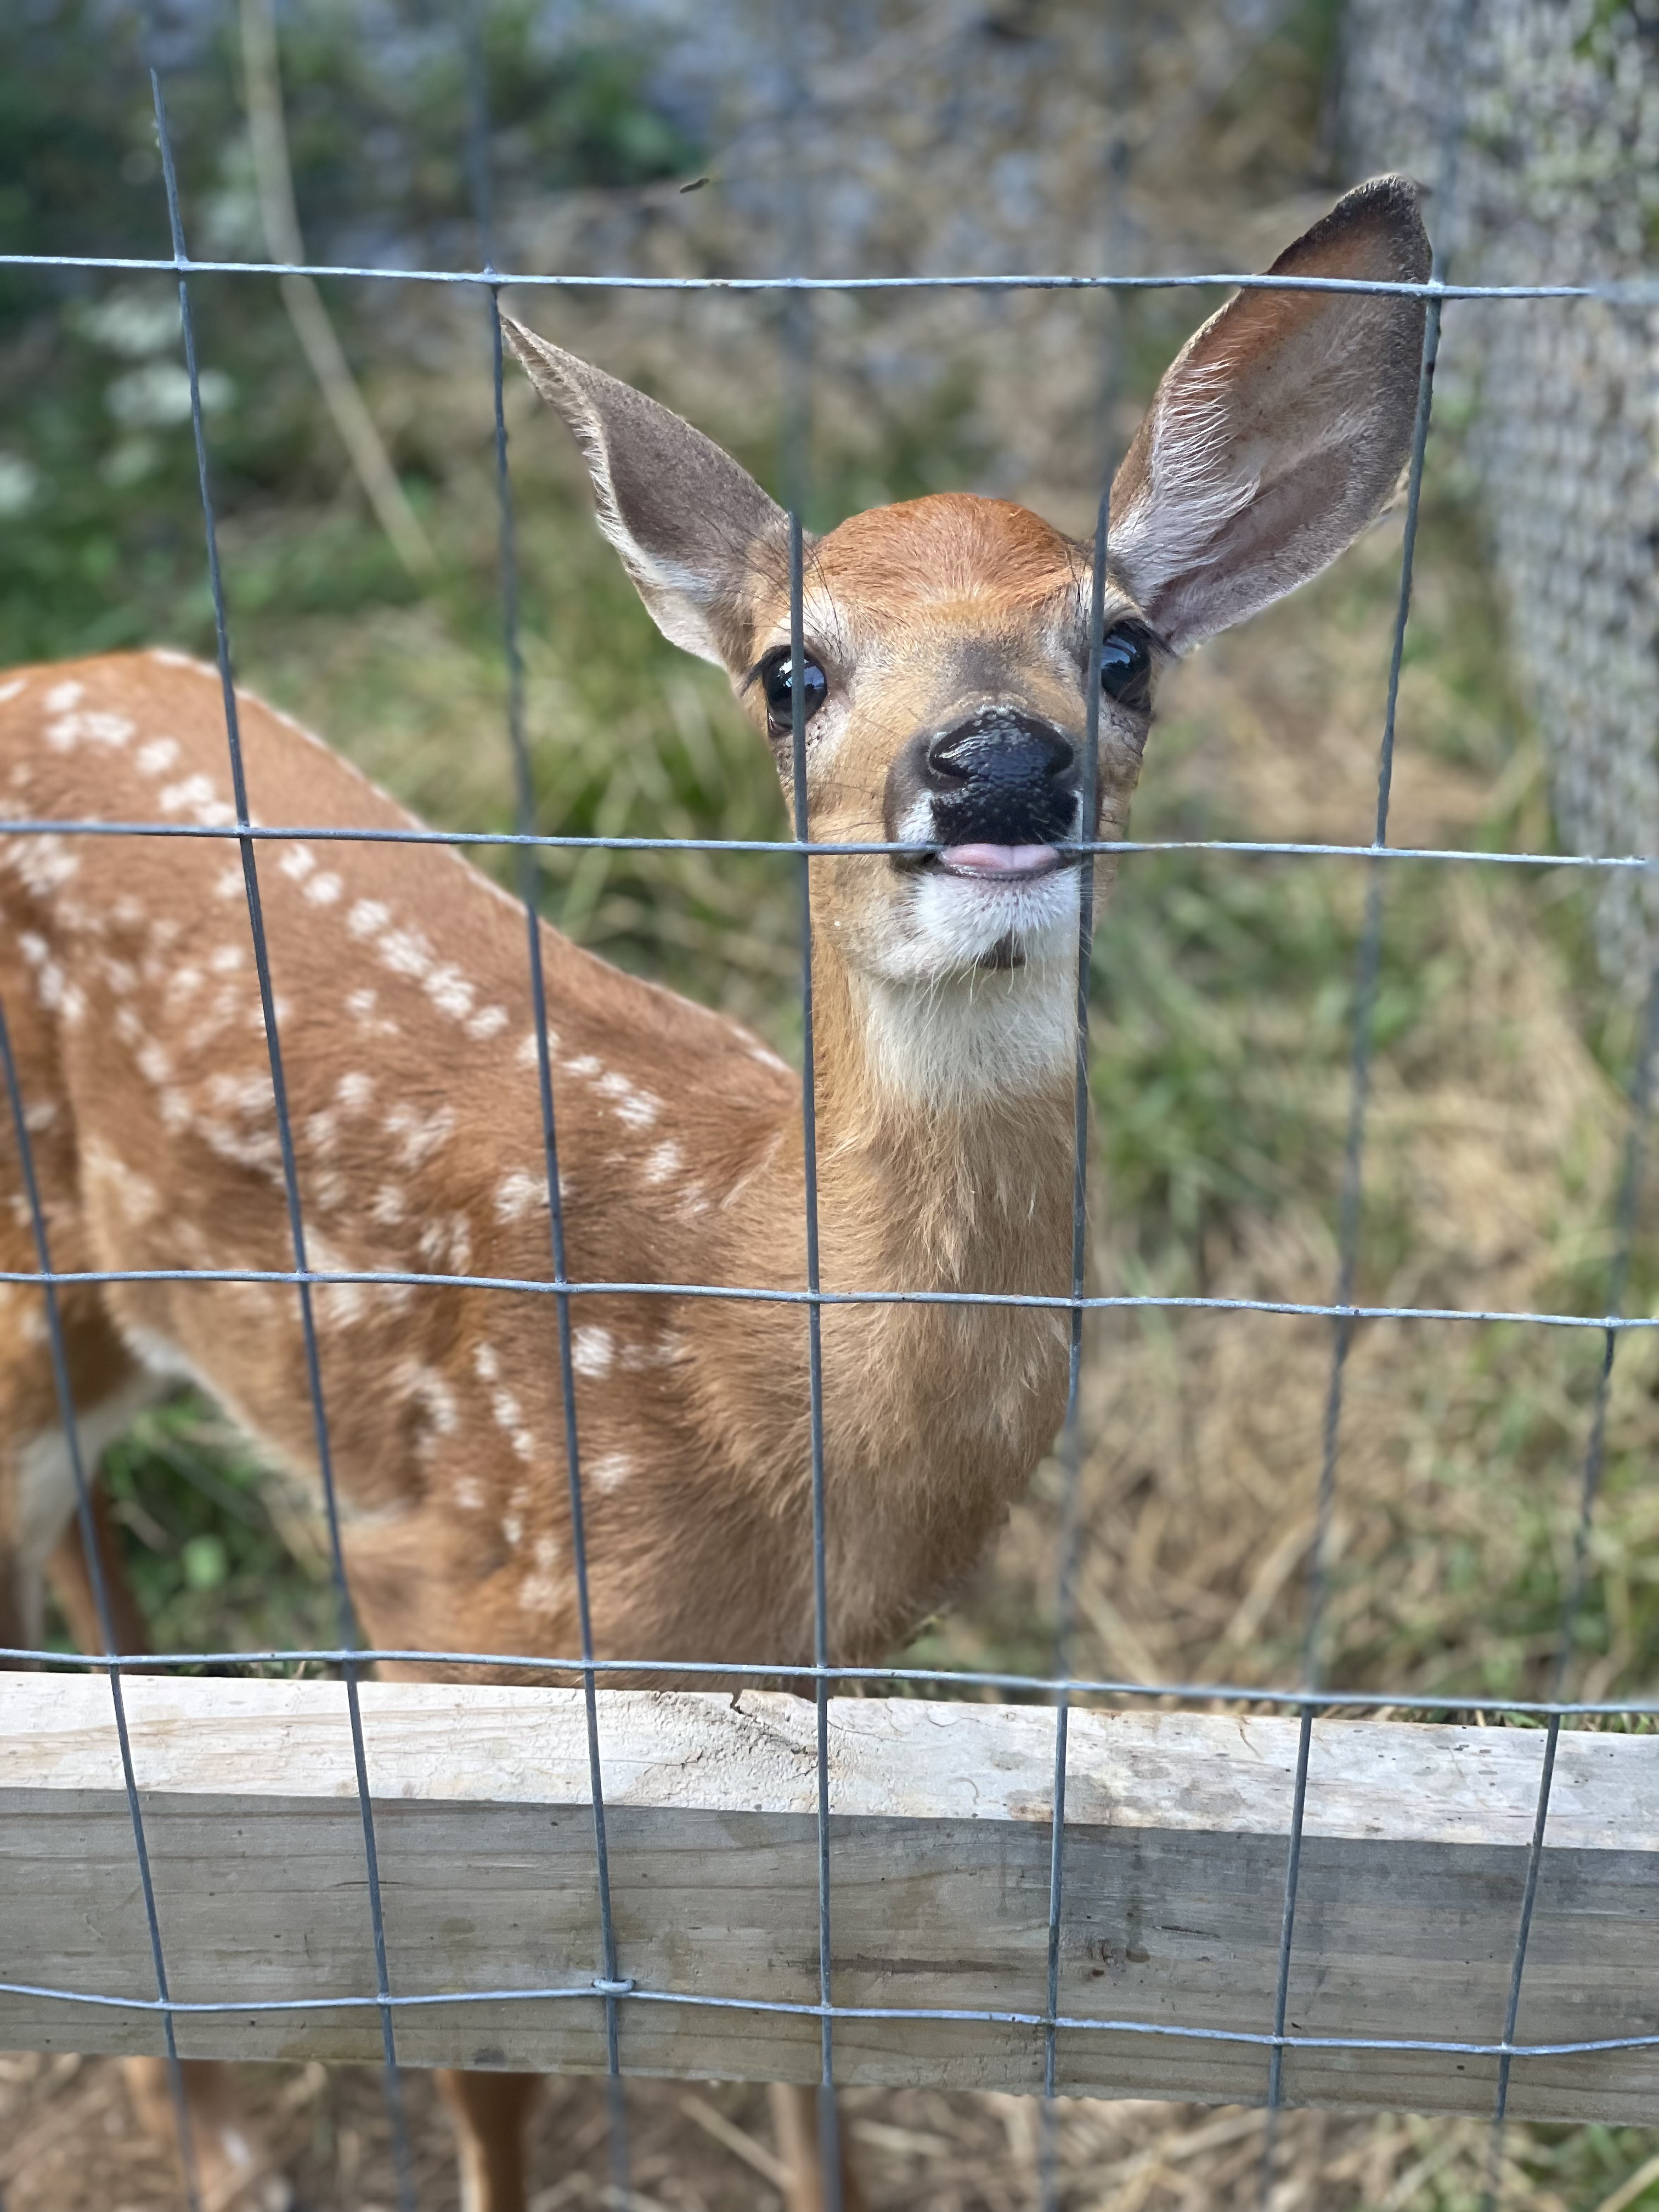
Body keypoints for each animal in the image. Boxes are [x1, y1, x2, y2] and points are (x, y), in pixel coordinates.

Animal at [0, 176, 1429, 2212]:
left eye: (1127, 645)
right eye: (790, 672)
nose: (995, 764)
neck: (748, 1353)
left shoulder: (800, 1704)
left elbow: (799, 2033)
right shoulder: (464, 1614)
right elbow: (494, 2062)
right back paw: (209, 2129)